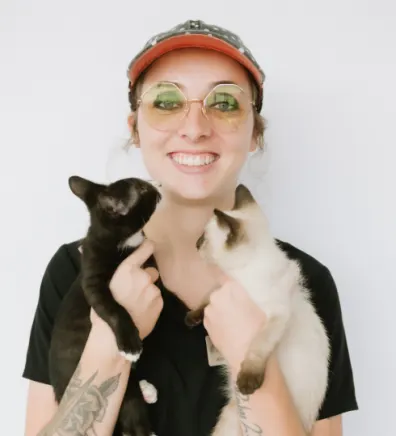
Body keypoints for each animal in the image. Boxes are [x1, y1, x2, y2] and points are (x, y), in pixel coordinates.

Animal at [49, 175, 161, 436]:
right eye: (143, 189)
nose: (157, 186)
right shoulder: (93, 283)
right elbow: (114, 309)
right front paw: (131, 344)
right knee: (132, 419)